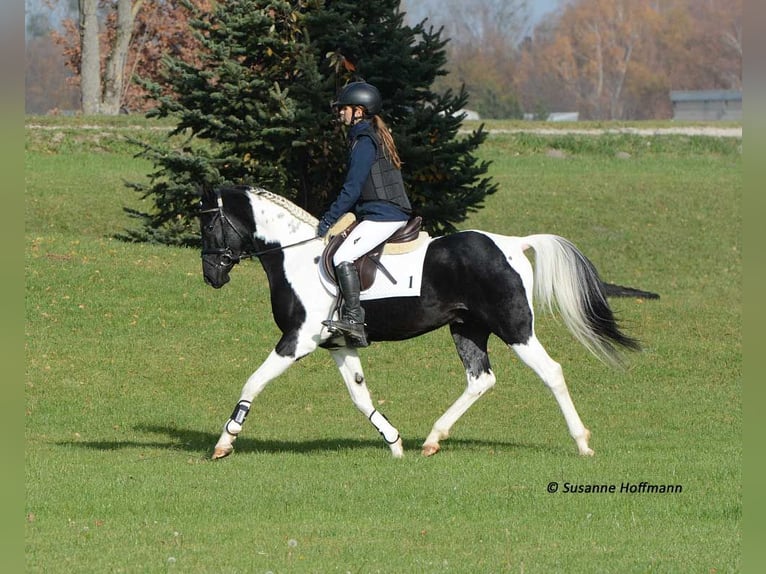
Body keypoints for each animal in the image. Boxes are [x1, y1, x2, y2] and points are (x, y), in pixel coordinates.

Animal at [200, 187, 640, 462]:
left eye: (207, 224)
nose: (211, 276)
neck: (295, 257)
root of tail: (513, 244)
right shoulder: (339, 344)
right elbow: (360, 396)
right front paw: (394, 444)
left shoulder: (298, 339)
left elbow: (253, 382)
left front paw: (225, 442)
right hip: (467, 328)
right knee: (480, 379)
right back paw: (431, 440)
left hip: (515, 328)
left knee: (551, 372)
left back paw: (582, 443)